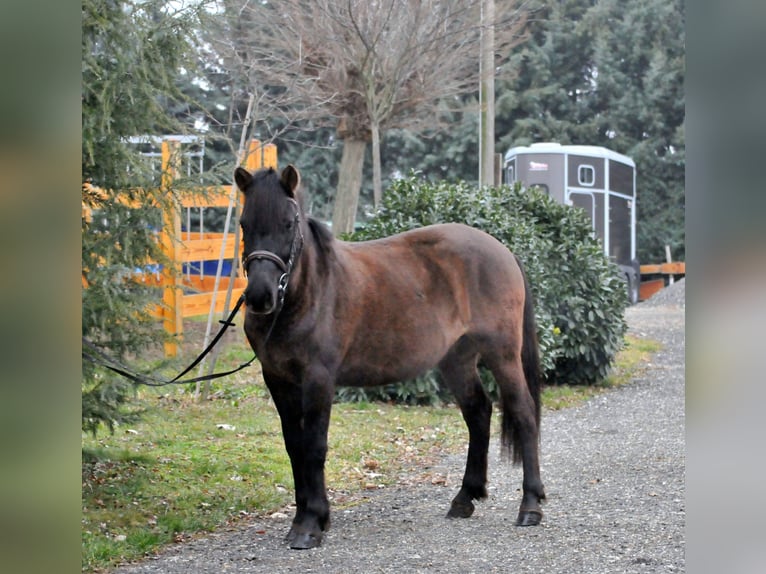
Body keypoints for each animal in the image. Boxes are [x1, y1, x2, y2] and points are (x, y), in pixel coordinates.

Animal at [234, 165, 544, 548]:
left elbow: (315, 446)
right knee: (478, 411)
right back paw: (464, 498)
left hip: (502, 353)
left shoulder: (318, 379)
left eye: (288, 223)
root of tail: (502, 250)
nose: (259, 296)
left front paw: (311, 523)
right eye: (244, 223)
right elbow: (295, 446)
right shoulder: (278, 380)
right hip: (457, 359)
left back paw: (530, 505)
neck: (308, 292)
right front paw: (305, 517)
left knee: (524, 413)